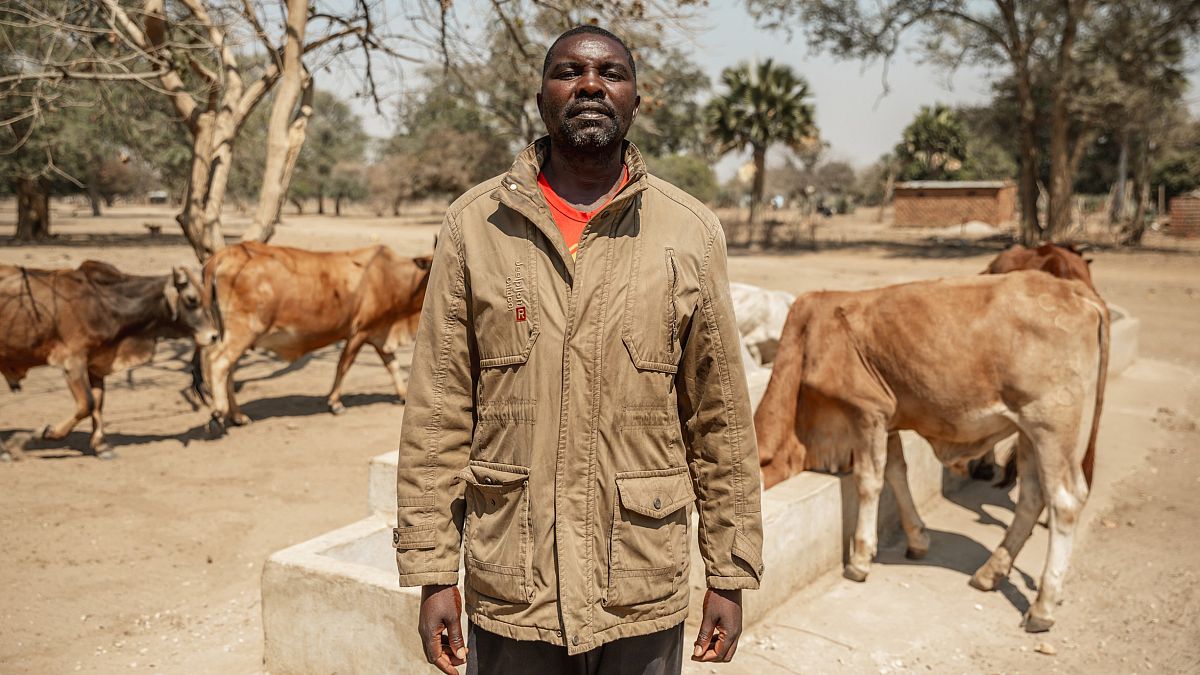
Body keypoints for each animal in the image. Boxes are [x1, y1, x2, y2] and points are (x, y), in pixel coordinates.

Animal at [1, 258, 216, 456]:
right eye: (191, 299)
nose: (214, 336)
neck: (104, 302)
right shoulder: (72, 362)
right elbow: (87, 404)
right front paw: (44, 433)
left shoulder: (96, 364)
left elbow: (97, 403)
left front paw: (101, 445)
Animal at [202, 241, 436, 429]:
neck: (392, 278)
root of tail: (224, 255)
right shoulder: (359, 332)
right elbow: (344, 365)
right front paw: (334, 402)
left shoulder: (378, 334)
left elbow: (392, 366)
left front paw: (403, 395)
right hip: (243, 330)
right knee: (217, 362)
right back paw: (219, 412)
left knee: (229, 370)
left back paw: (238, 416)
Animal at [758, 269, 1104, 629]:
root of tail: (1073, 290)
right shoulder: (889, 420)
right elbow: (896, 473)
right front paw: (917, 539)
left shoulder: (867, 412)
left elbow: (869, 482)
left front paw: (860, 558)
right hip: (1028, 431)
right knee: (1032, 496)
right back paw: (990, 574)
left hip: (1051, 425)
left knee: (1065, 501)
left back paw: (1043, 606)